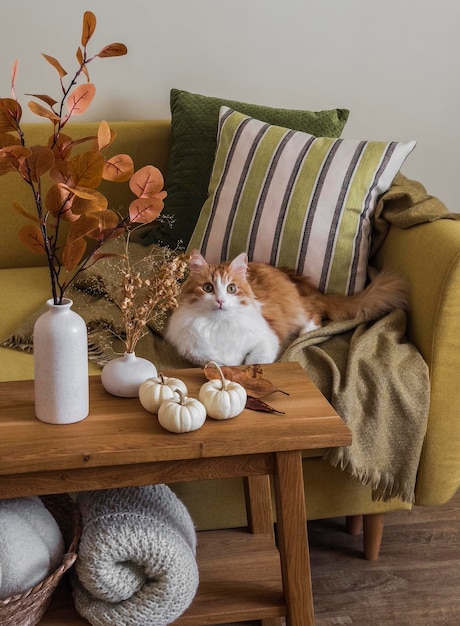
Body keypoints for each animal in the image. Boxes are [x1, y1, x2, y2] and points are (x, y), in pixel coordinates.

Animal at [164, 250, 406, 366]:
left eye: (231, 289)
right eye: (208, 288)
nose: (221, 301)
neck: (219, 325)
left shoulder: (267, 338)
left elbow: (255, 359)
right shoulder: (199, 355)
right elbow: (218, 363)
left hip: (297, 310)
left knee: (314, 314)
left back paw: (306, 332)